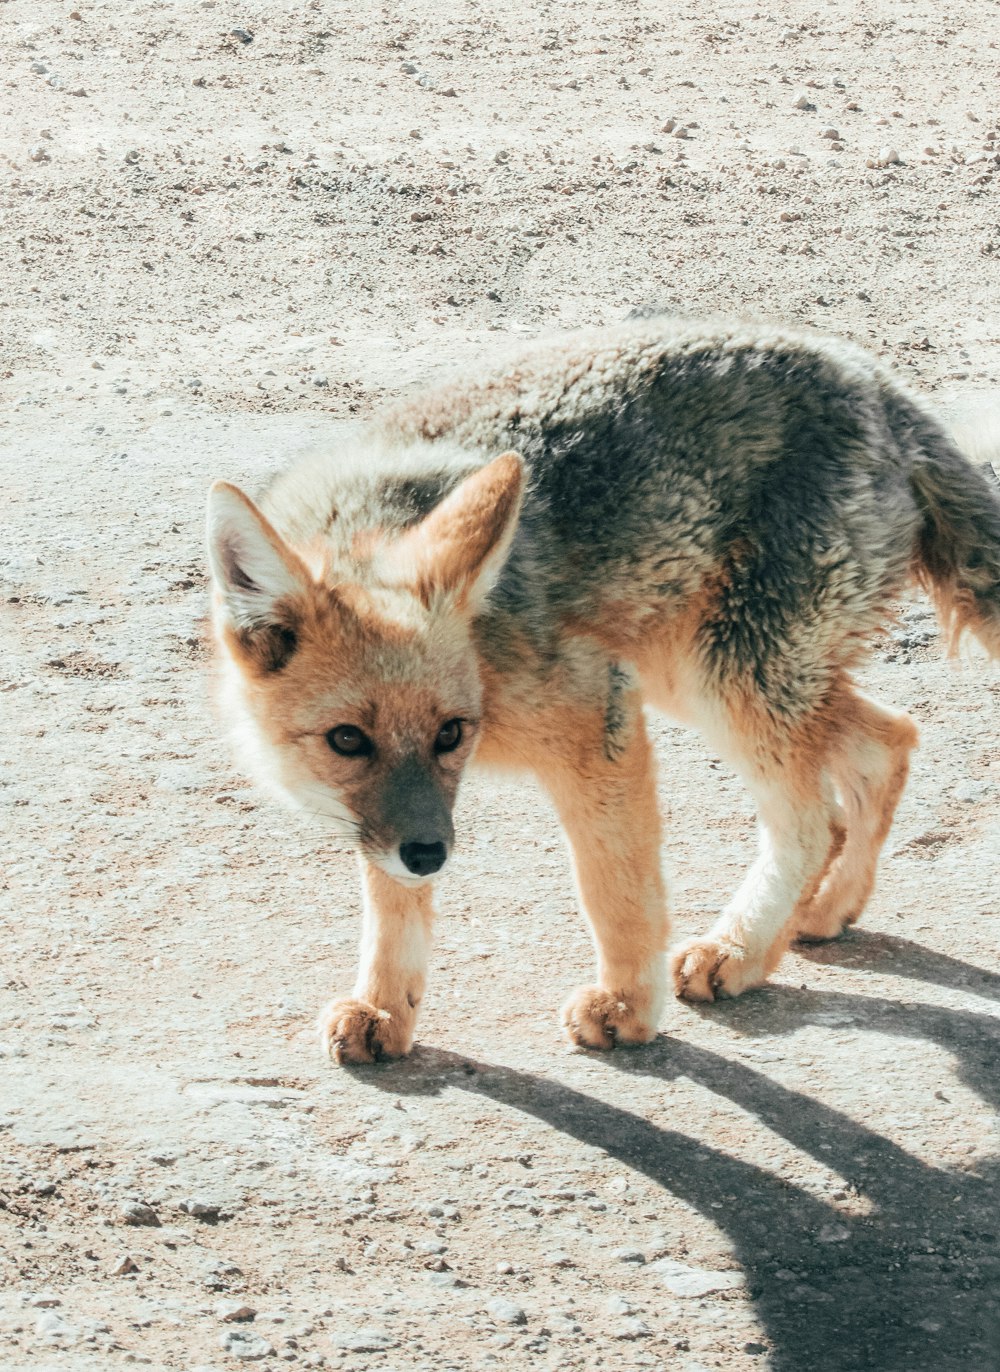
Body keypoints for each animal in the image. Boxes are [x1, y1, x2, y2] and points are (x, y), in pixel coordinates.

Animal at [203, 315, 998, 1064]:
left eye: (450, 732)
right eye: (348, 741)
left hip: (727, 681)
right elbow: (392, 903)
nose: (432, 857)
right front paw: (386, 1010)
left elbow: (614, 889)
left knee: (813, 822)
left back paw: (740, 953)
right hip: (711, 677)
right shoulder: (404, 817)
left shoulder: (595, 720)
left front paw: (627, 1007)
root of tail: (881, 386)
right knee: (889, 741)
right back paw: (824, 913)